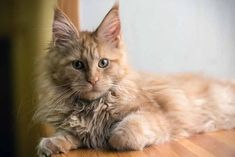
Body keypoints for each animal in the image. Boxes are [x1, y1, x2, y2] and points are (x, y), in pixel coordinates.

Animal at [34, 2, 235, 157]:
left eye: (103, 63)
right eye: (77, 65)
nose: (93, 80)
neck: (92, 107)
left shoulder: (154, 115)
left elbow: (121, 134)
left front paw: (108, 139)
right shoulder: (75, 128)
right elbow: (66, 133)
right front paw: (51, 143)